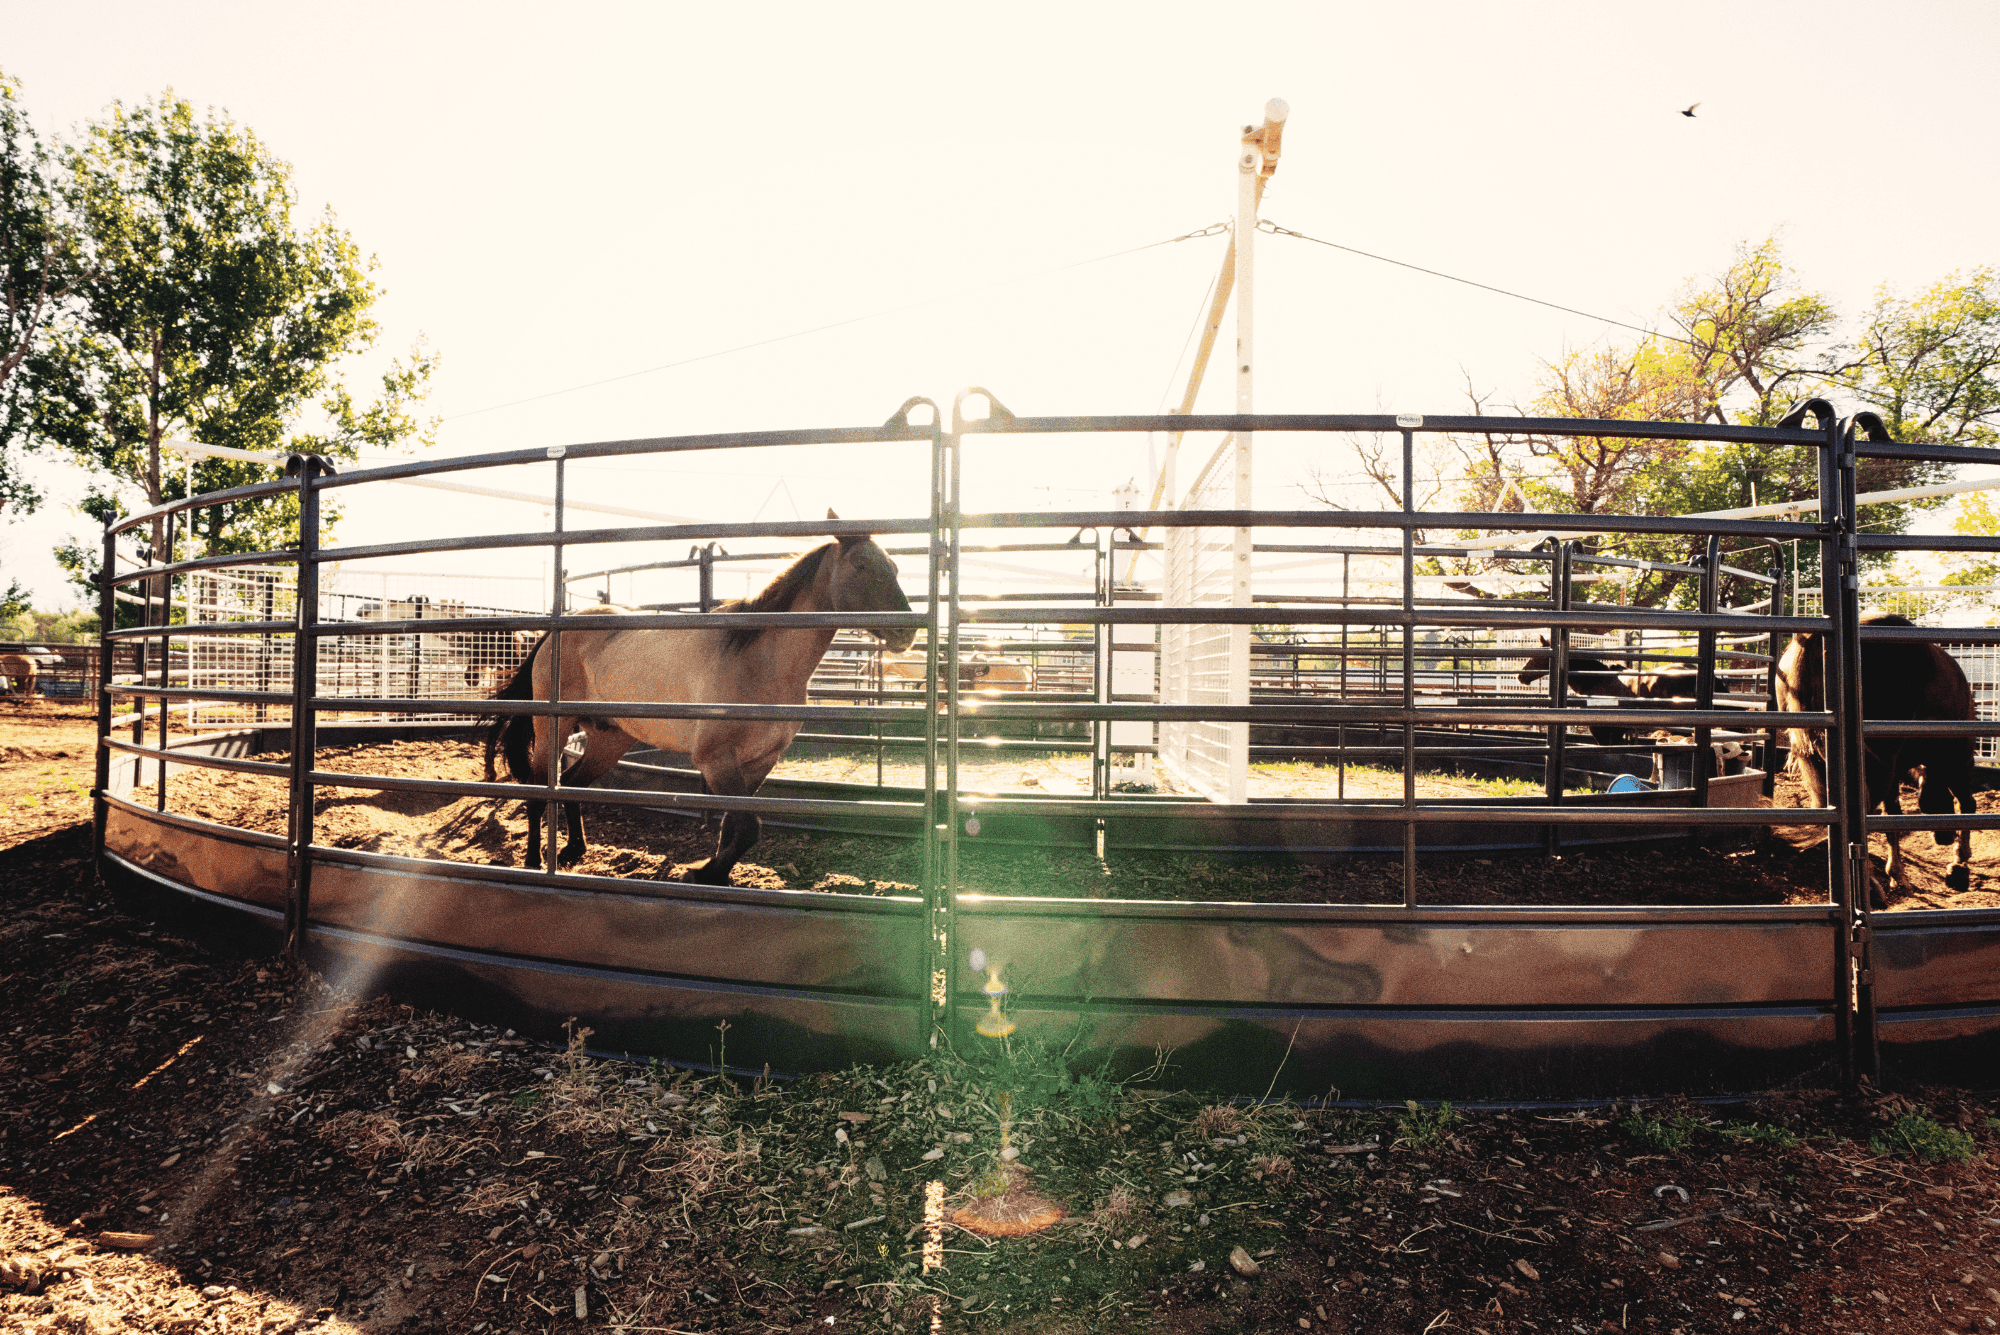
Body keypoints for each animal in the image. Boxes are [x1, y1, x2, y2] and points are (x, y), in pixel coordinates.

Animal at [488, 519, 916, 887]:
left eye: (894, 566)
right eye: (861, 565)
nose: (907, 632)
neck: (760, 661)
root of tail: (554, 631)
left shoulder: (760, 761)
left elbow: (734, 825)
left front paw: (716, 874)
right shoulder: (715, 759)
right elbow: (749, 825)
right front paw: (702, 873)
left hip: (611, 739)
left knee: (573, 785)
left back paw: (575, 850)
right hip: (554, 728)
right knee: (539, 789)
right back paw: (534, 861)